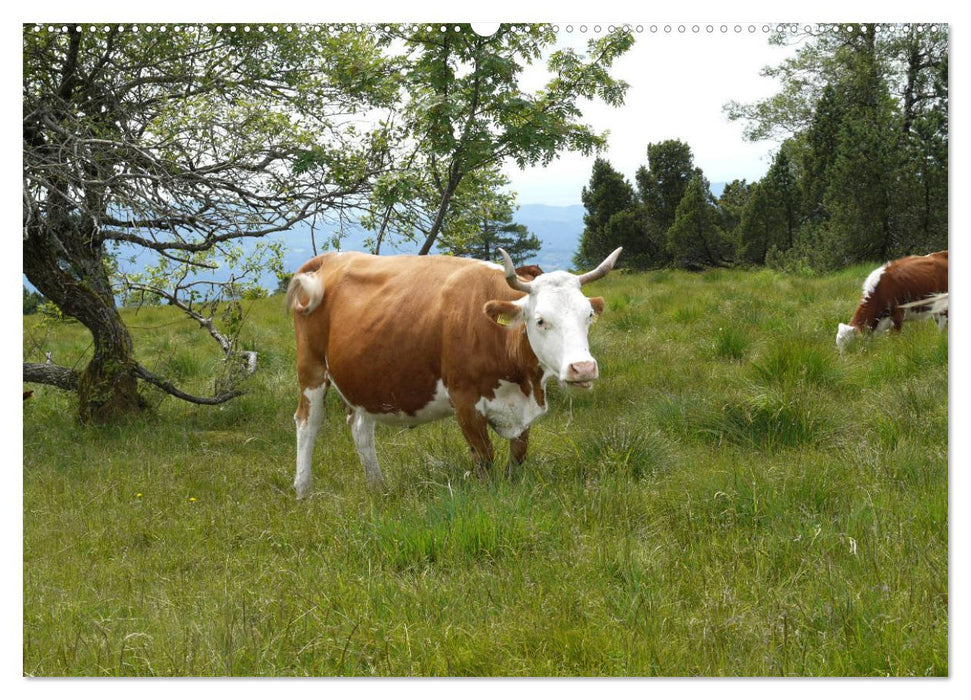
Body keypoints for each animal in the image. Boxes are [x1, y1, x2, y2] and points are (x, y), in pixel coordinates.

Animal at [286, 249, 624, 494]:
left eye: (588, 315)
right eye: (540, 320)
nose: (583, 368)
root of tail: (333, 256)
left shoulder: (522, 410)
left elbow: (518, 457)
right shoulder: (465, 402)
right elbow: (484, 459)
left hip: (362, 378)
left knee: (360, 427)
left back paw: (378, 487)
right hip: (311, 367)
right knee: (307, 422)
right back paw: (304, 490)